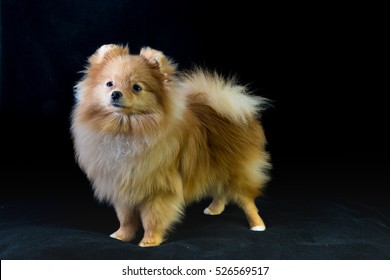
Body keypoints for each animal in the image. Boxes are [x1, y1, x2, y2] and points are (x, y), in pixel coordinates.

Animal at [71, 44, 272, 247]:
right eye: (109, 84)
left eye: (136, 87)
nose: (115, 93)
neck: (127, 130)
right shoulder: (123, 187)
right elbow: (126, 218)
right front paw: (122, 235)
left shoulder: (158, 189)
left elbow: (152, 218)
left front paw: (149, 241)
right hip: (214, 167)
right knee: (221, 190)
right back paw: (215, 208)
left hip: (236, 171)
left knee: (246, 200)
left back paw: (257, 225)